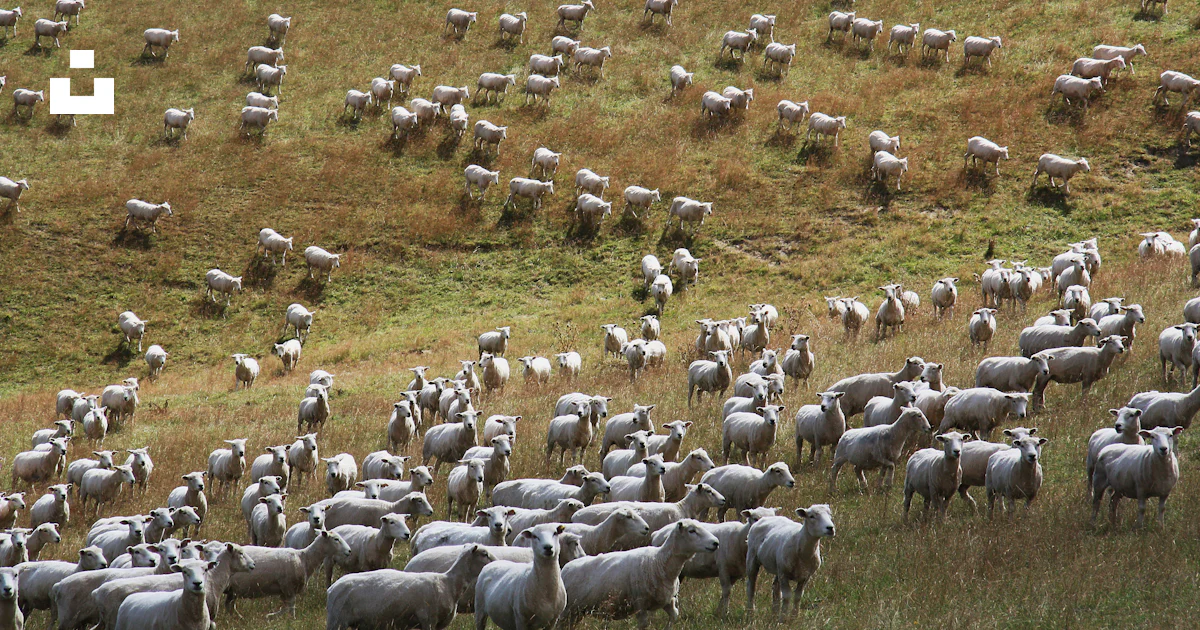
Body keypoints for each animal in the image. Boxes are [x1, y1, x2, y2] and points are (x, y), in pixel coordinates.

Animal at [327, 544, 494, 630]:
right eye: (484, 554)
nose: (496, 561)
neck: (449, 583)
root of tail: (332, 589)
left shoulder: (438, 624)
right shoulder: (427, 619)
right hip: (337, 620)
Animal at [559, 519, 718, 628]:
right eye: (692, 531)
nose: (716, 543)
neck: (659, 562)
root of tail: (566, 568)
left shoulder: (668, 600)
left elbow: (674, 615)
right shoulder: (641, 604)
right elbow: (644, 624)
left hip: (577, 611)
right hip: (567, 610)